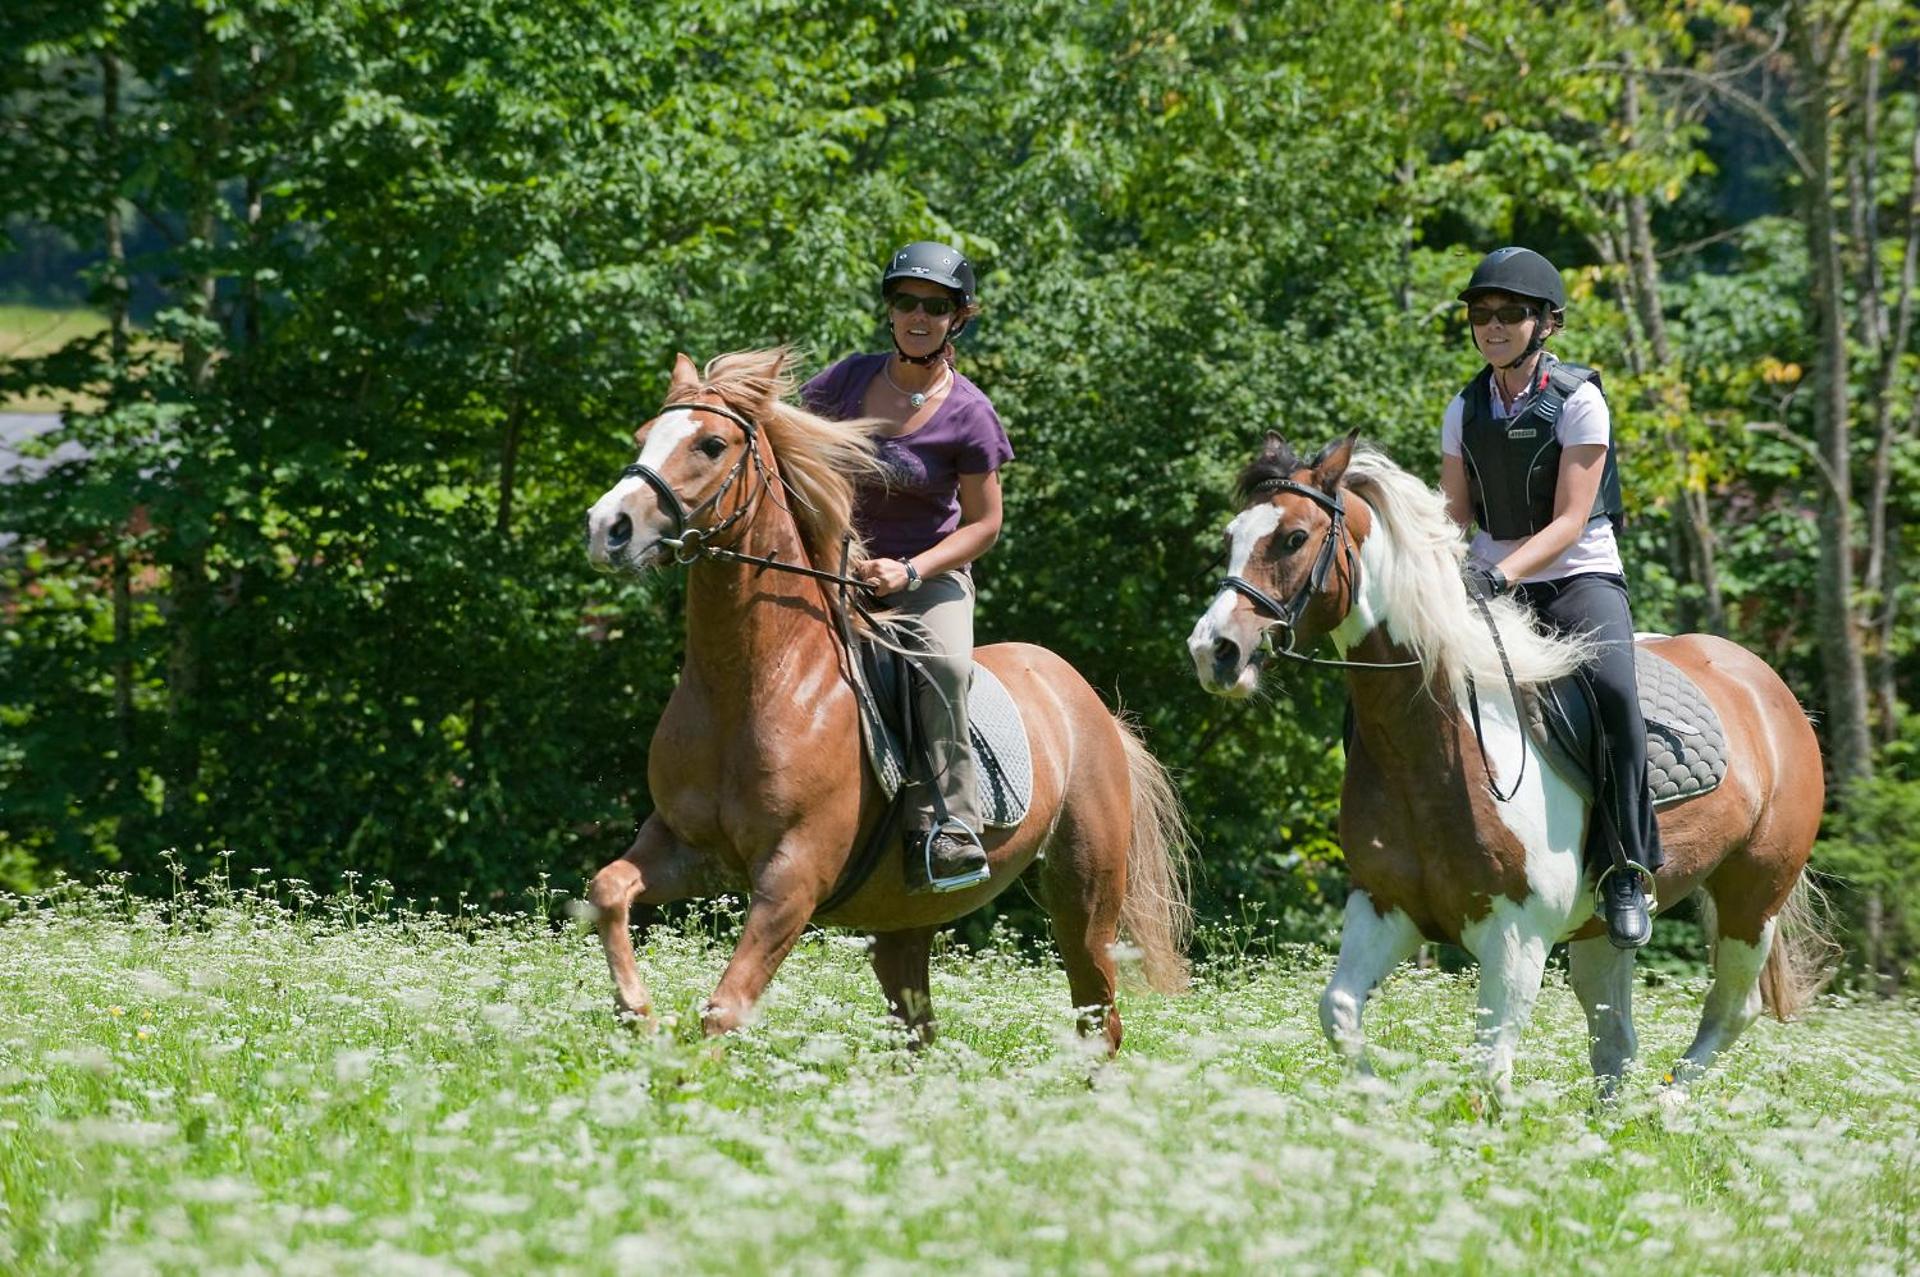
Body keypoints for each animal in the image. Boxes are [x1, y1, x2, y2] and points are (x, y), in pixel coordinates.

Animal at [581, 348, 1191, 1050]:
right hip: (905, 918)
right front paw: (636, 1012)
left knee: (1099, 1022)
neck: (755, 680)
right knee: (918, 1029)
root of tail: (1086, 701)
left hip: (1084, 900)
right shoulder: (686, 849)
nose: (608, 529)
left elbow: (725, 1009)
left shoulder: (792, 879)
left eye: (711, 444)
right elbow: (608, 889)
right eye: (642, 437)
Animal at [1186, 431, 1831, 1098]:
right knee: (1615, 1040)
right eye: (1233, 536)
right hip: (1603, 932)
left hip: (1753, 896)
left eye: (1293, 537)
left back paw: (1668, 1104)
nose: (1214, 651)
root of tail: (1764, 685)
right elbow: (1338, 1011)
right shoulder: (1384, 908)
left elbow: (1490, 1072)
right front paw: (1374, 1102)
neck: (1433, 750)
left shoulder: (1517, 938)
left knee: (1732, 1010)